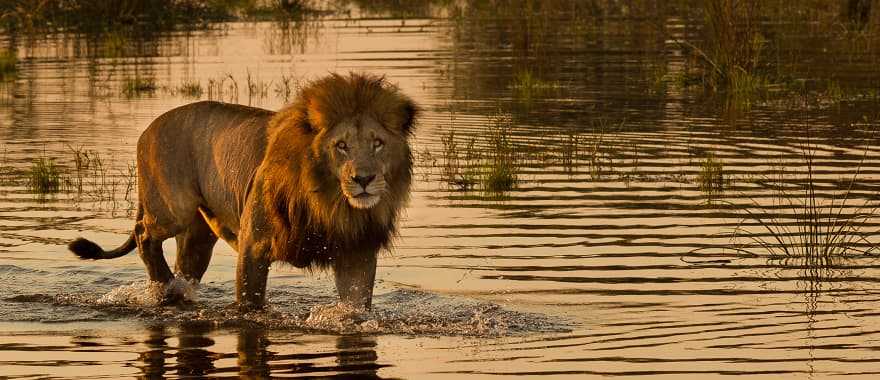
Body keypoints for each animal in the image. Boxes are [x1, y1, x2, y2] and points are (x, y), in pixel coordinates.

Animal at [67, 72, 418, 312]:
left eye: (377, 143)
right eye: (341, 146)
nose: (364, 179)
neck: (329, 202)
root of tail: (148, 128)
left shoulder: (356, 252)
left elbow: (354, 307)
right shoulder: (255, 243)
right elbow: (250, 303)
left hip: (197, 237)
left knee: (184, 266)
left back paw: (176, 290)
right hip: (173, 208)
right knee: (143, 233)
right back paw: (164, 285)